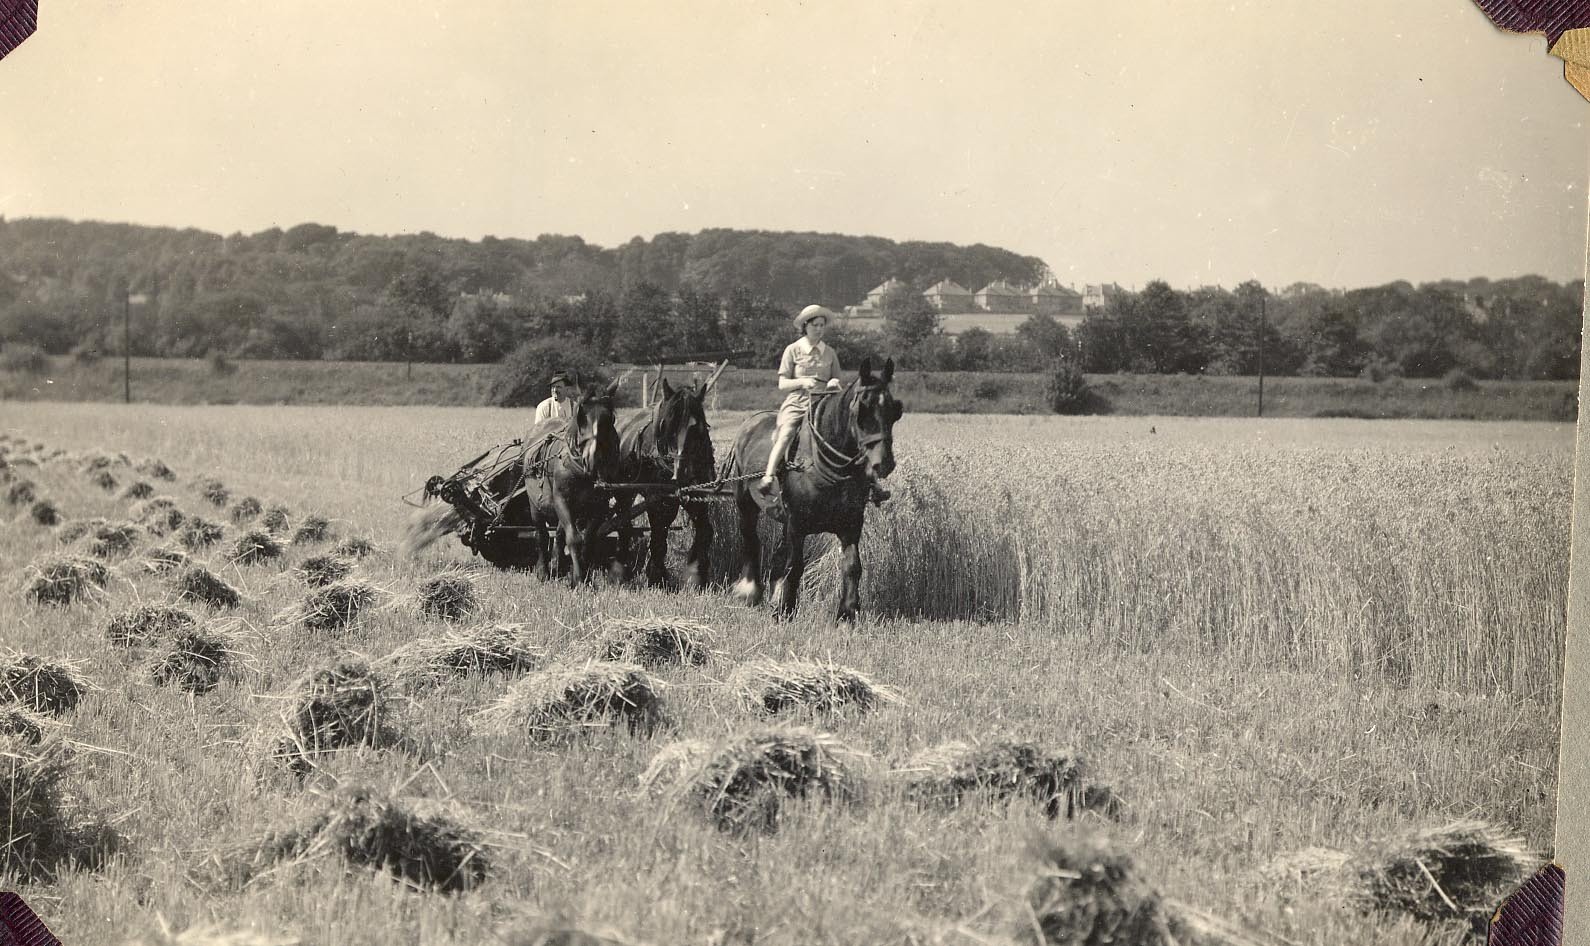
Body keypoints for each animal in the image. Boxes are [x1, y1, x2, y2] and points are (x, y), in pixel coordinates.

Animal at [607, 373, 715, 588]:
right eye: (667, 425)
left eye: (697, 426)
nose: (682, 472)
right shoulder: (658, 499)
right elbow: (658, 534)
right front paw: (656, 575)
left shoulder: (698, 495)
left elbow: (704, 530)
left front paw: (696, 573)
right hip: (624, 491)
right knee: (624, 524)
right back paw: (621, 568)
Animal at [725, 357, 903, 623]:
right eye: (862, 410)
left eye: (894, 410)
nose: (884, 463)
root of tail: (752, 421)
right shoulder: (797, 524)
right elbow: (795, 566)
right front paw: (786, 610)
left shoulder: (851, 524)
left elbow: (852, 566)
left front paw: (847, 613)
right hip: (745, 502)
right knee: (750, 539)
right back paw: (750, 590)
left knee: (777, 554)